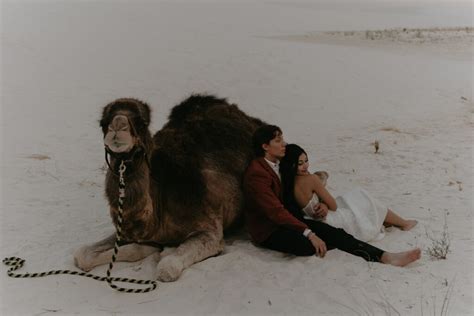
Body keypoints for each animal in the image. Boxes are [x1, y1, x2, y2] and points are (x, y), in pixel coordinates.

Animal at [75, 94, 266, 282]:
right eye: (103, 122)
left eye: (142, 122)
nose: (117, 126)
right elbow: (82, 255)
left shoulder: (210, 231)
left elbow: (167, 268)